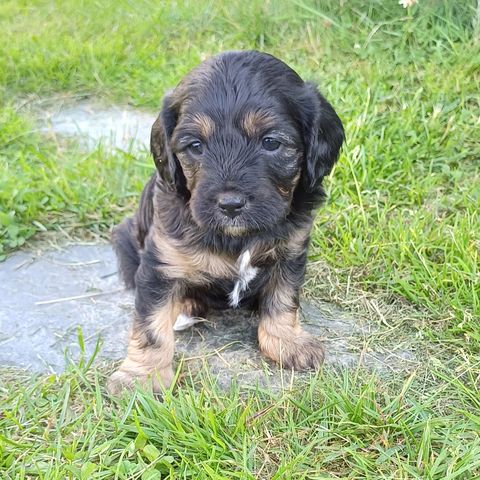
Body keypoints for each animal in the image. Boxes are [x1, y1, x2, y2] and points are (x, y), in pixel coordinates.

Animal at [107, 49, 344, 394]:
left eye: (270, 142)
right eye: (195, 146)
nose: (230, 204)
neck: (237, 236)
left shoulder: (291, 250)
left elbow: (283, 299)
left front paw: (287, 342)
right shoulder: (160, 265)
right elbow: (151, 325)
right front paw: (141, 378)